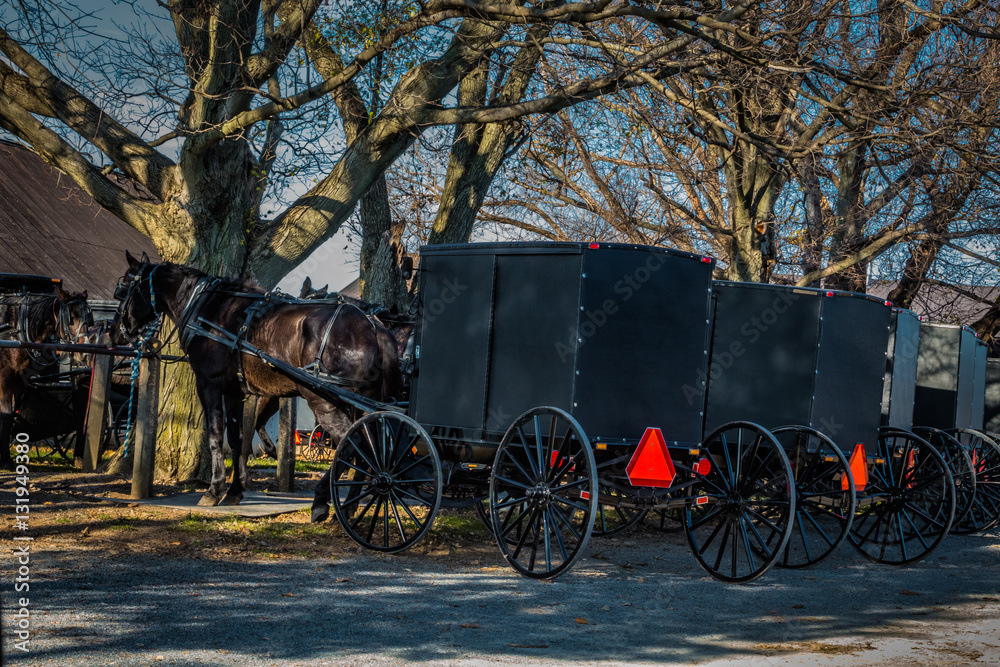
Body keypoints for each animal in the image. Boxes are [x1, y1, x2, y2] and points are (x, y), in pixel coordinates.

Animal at [0, 288, 93, 470]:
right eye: (70, 316)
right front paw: (5, 460)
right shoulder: (5, 377)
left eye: (88, 315)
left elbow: (11, 414)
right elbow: (6, 415)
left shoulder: (19, 380)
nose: (84, 352)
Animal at [116, 253, 398, 508]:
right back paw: (352, 502)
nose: (121, 326)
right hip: (361, 404)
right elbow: (236, 438)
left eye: (125, 286)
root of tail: (372, 325)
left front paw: (214, 490)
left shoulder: (209, 384)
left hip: (324, 401)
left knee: (353, 446)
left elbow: (215, 436)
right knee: (370, 449)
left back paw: (322, 499)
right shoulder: (234, 391)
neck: (209, 310)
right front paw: (234, 491)